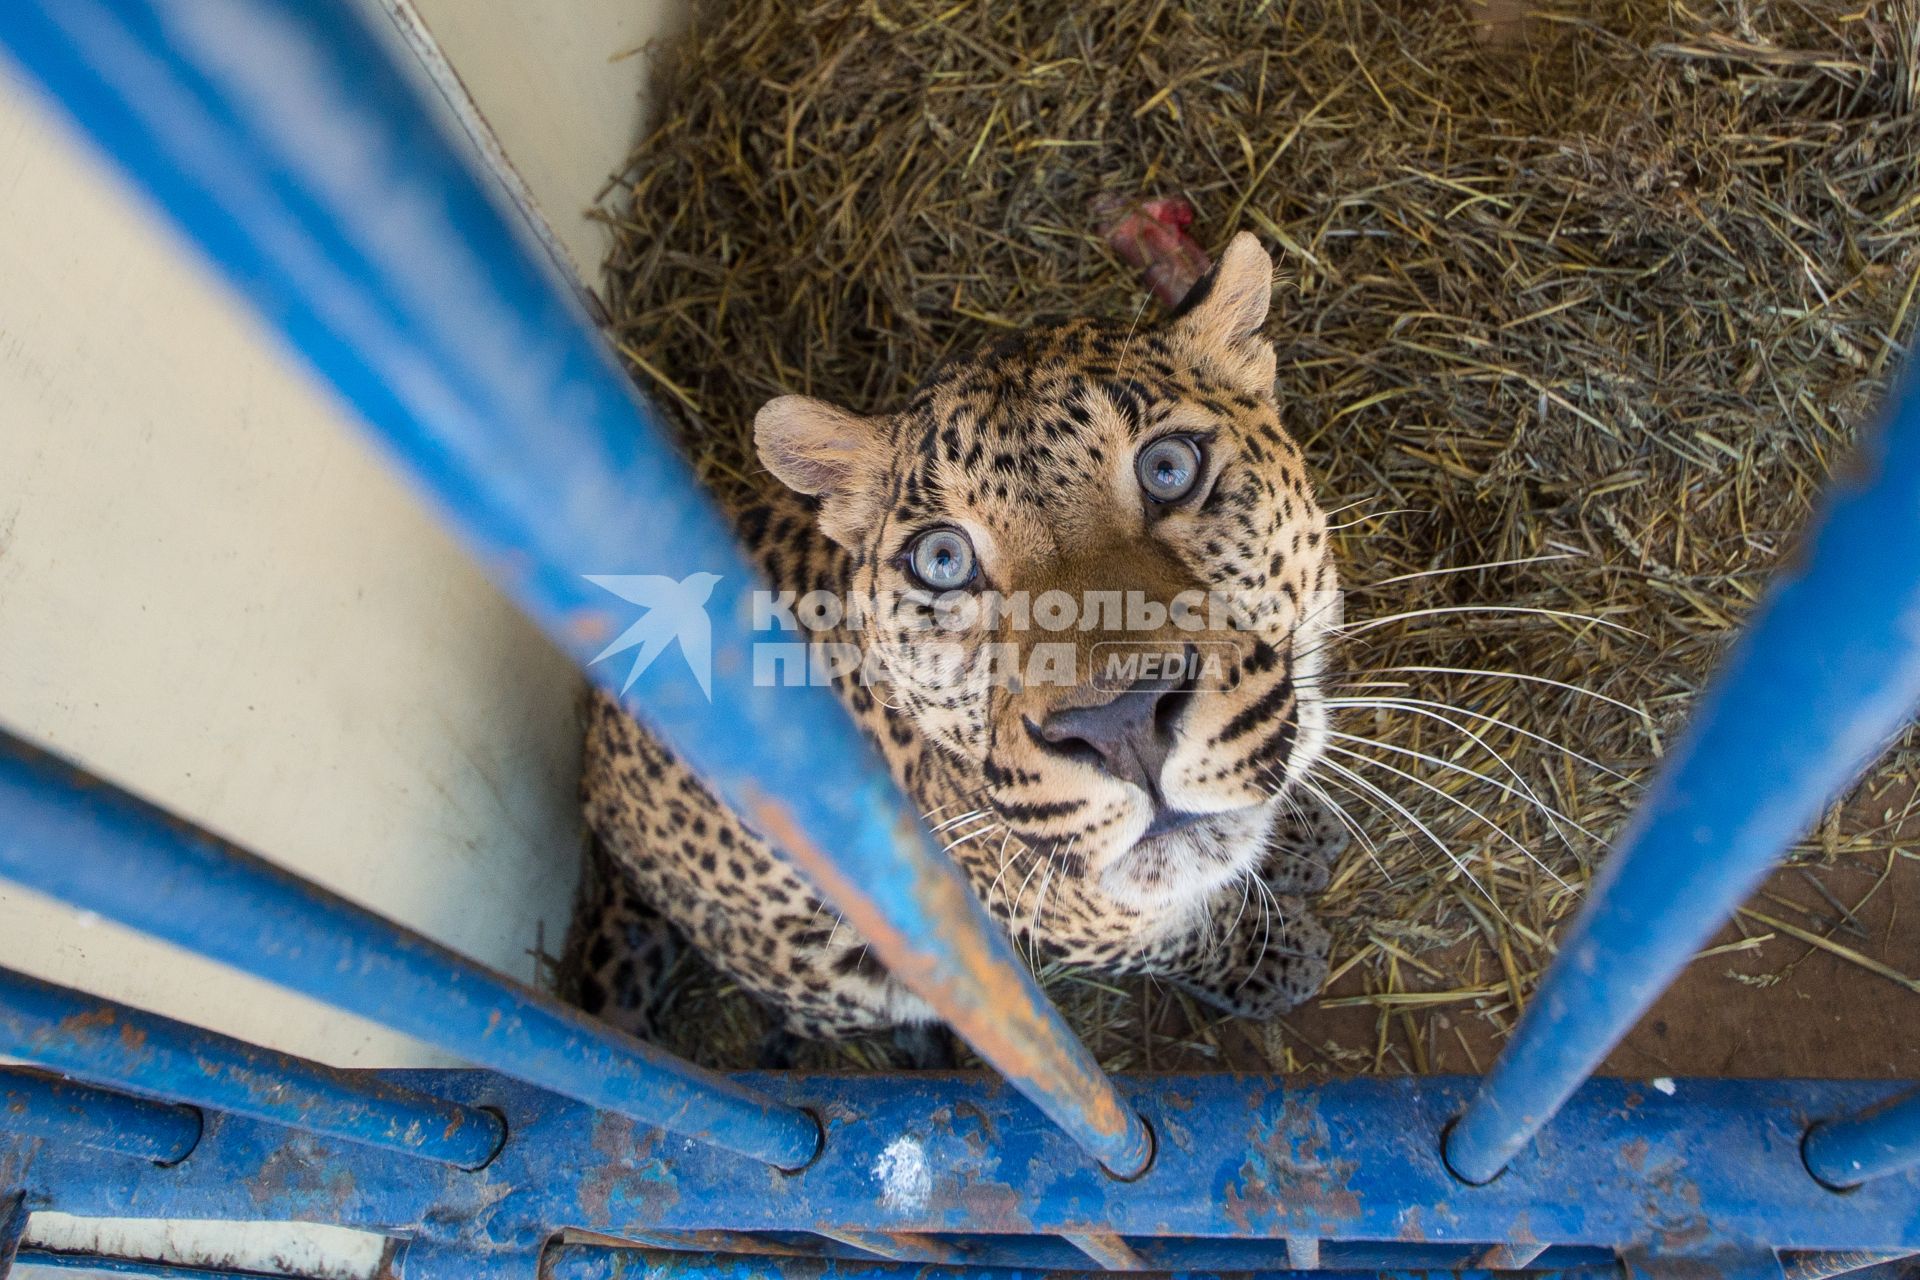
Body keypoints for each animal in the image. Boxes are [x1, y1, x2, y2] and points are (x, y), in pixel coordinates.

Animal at [568, 235, 1351, 1059]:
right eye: (942, 560)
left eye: (1169, 469)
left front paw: (1297, 829)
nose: (1122, 725)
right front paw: (1266, 953)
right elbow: (1172, 934)